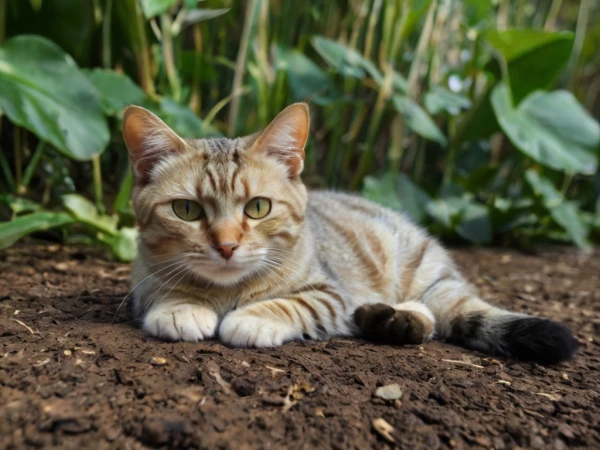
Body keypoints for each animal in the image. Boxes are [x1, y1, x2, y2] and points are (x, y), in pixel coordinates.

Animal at [123, 103, 580, 366]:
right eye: (186, 210)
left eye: (258, 208)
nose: (227, 245)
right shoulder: (143, 277)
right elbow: (161, 288)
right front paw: (181, 305)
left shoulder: (330, 293)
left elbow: (294, 303)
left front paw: (252, 317)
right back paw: (384, 318)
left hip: (420, 271)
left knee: (436, 313)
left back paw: (398, 319)